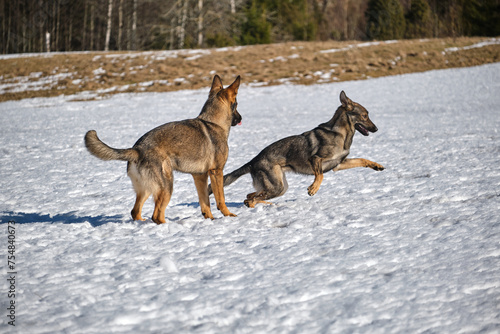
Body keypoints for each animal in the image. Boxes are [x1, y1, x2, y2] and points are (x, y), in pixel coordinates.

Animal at [85, 75, 241, 224]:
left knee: (135, 212)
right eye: (236, 105)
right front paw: (228, 215)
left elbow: (205, 203)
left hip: (147, 189)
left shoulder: (200, 176)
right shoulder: (216, 172)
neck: (213, 122)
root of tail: (137, 149)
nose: (240, 118)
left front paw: (210, 220)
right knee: (157, 216)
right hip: (166, 186)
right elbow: (220, 199)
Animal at [213, 90, 384, 207]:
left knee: (250, 196)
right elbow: (320, 175)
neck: (340, 133)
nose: (376, 129)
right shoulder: (316, 159)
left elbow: (361, 159)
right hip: (277, 186)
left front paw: (377, 166)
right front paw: (313, 189)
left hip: (280, 187)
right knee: (252, 199)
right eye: (365, 115)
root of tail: (253, 161)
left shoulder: (339, 164)